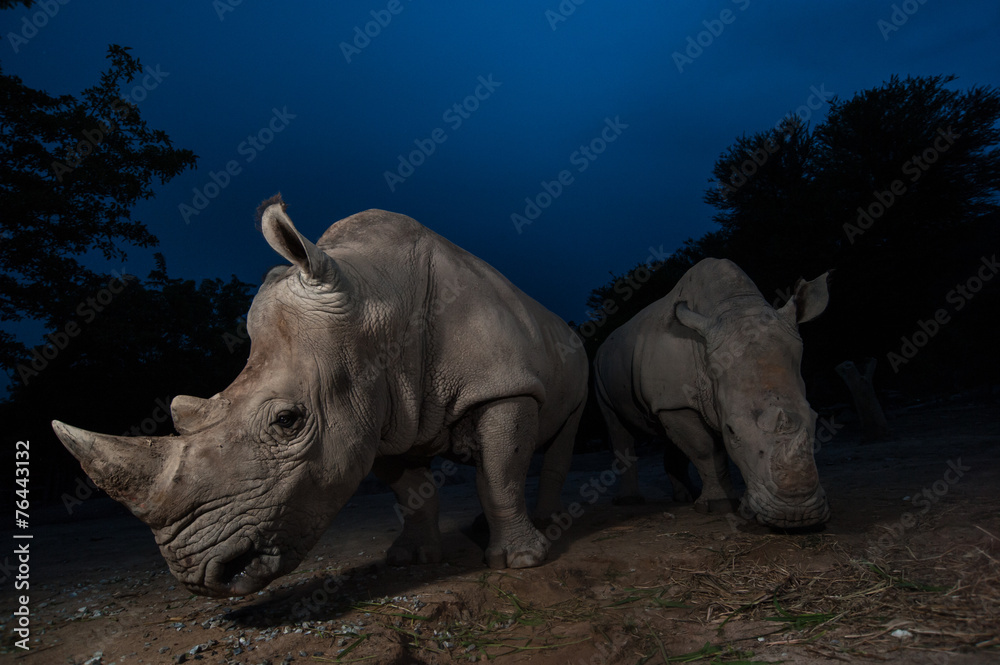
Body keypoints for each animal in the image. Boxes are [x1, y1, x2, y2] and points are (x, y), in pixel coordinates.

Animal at [51, 195, 588, 597]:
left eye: (287, 420)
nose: (201, 577)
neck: (379, 302)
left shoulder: (503, 387)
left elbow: (500, 475)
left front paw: (521, 562)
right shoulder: (383, 412)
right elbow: (412, 491)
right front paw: (410, 560)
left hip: (575, 354)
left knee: (559, 438)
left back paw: (548, 522)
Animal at [593, 258, 830, 528]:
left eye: (815, 418)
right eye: (731, 431)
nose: (795, 514)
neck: (733, 306)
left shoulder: (673, 400)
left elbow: (692, 445)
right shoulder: (677, 402)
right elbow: (705, 449)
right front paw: (718, 506)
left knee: (669, 435)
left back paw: (685, 496)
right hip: (600, 369)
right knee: (617, 427)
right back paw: (630, 501)